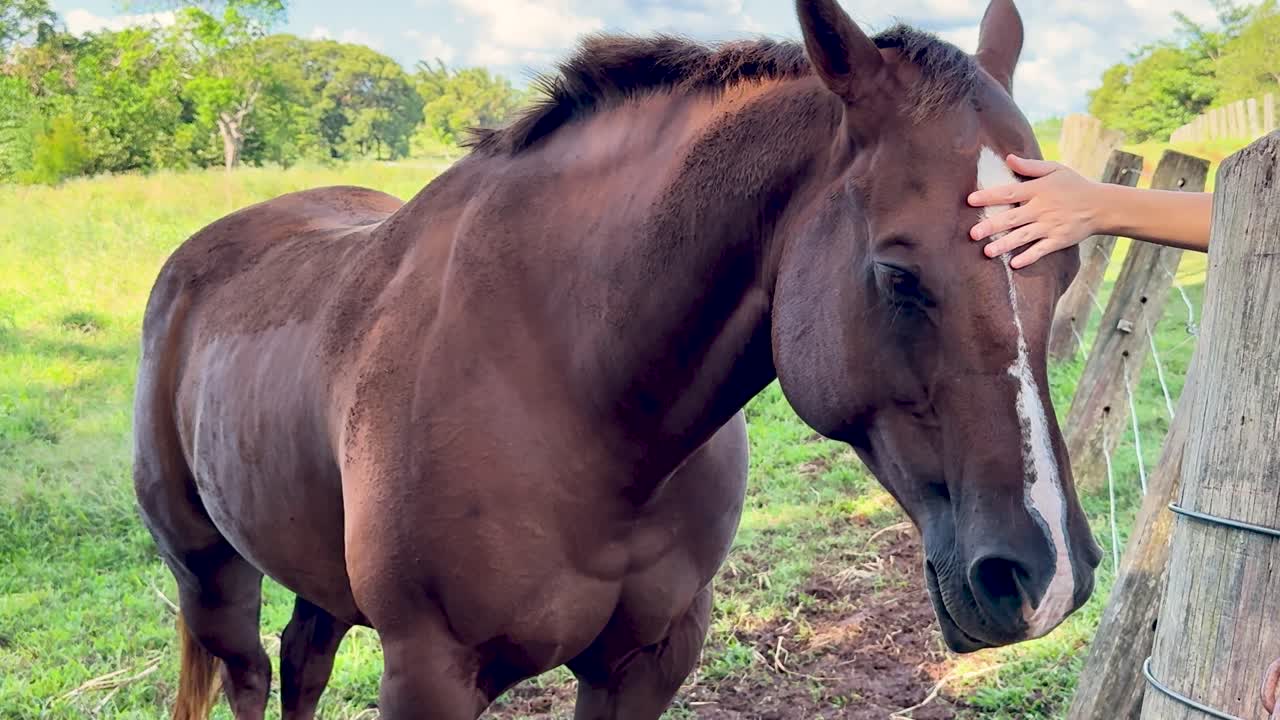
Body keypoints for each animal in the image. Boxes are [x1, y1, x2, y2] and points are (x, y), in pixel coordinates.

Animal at [133, 0, 1102, 717]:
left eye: (1066, 263)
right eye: (898, 273)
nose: (1045, 575)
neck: (571, 391)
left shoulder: (646, 660)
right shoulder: (428, 673)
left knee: (303, 660)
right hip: (208, 575)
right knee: (253, 675)